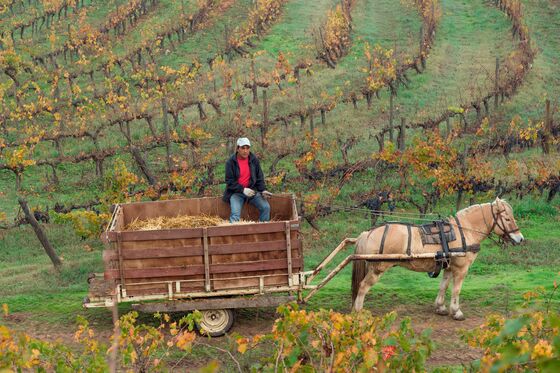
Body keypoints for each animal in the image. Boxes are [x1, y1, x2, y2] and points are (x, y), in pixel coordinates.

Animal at [352, 198, 524, 320]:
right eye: (507, 219)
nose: (520, 239)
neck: (464, 231)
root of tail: (366, 233)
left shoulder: (448, 267)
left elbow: (444, 286)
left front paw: (440, 307)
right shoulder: (461, 269)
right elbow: (456, 289)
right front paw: (456, 311)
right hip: (377, 269)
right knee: (363, 287)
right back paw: (358, 312)